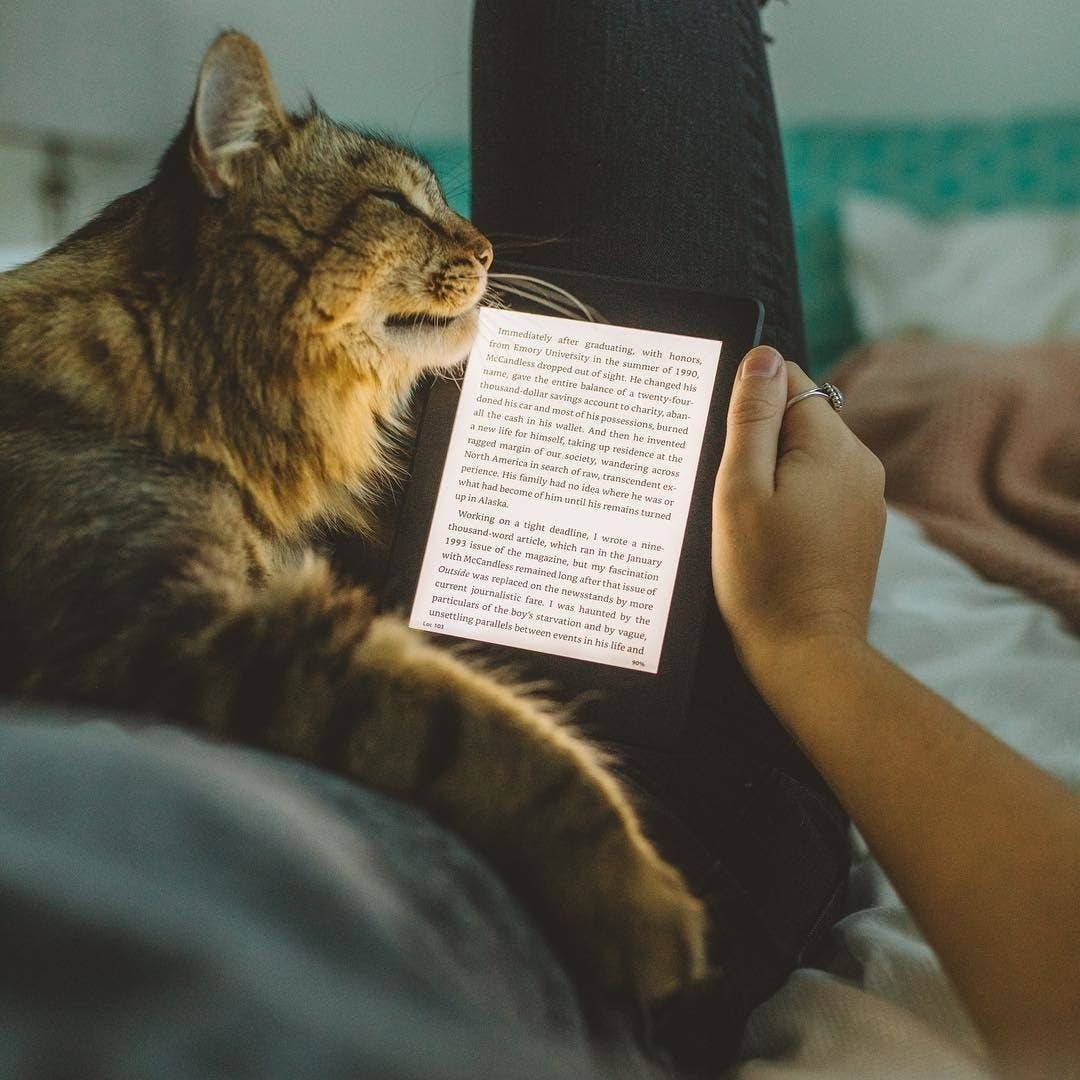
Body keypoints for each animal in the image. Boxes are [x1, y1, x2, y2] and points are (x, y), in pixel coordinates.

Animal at [0, 29, 704, 997]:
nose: (489, 248)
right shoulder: (175, 627)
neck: (165, 366)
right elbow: (487, 731)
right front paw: (637, 893)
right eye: (396, 203)